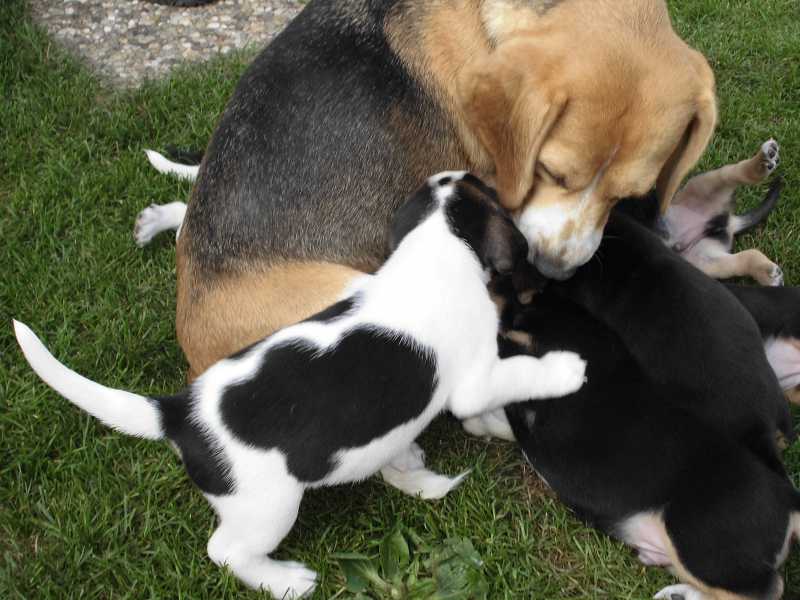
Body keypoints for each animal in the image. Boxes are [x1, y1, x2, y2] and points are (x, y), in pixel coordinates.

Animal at [15, 173, 586, 598]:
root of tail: (176, 413)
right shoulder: (475, 376)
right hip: (267, 508)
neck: (431, 250)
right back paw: (286, 581)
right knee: (224, 552)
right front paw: (568, 370)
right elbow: (512, 381)